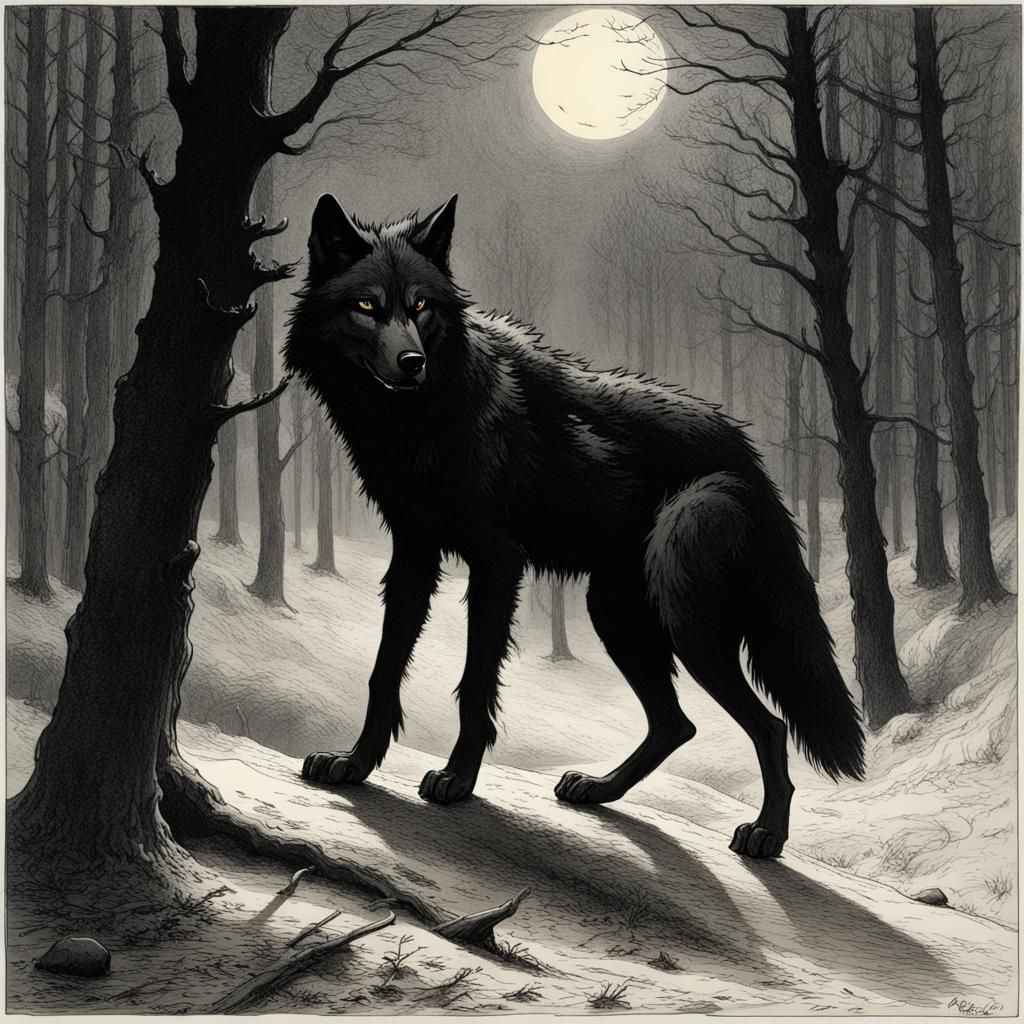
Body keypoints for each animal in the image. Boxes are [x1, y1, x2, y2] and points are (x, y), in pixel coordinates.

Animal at [284, 193, 865, 859]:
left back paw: (767, 834)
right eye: (367, 306)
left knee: (767, 726)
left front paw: (458, 779)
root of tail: (749, 457)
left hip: (683, 618)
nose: (412, 362)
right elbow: (384, 672)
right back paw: (601, 790)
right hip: (615, 613)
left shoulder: (497, 561)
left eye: (421, 306)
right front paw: (356, 765)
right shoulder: (412, 557)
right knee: (677, 723)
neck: (422, 415)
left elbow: (474, 685)